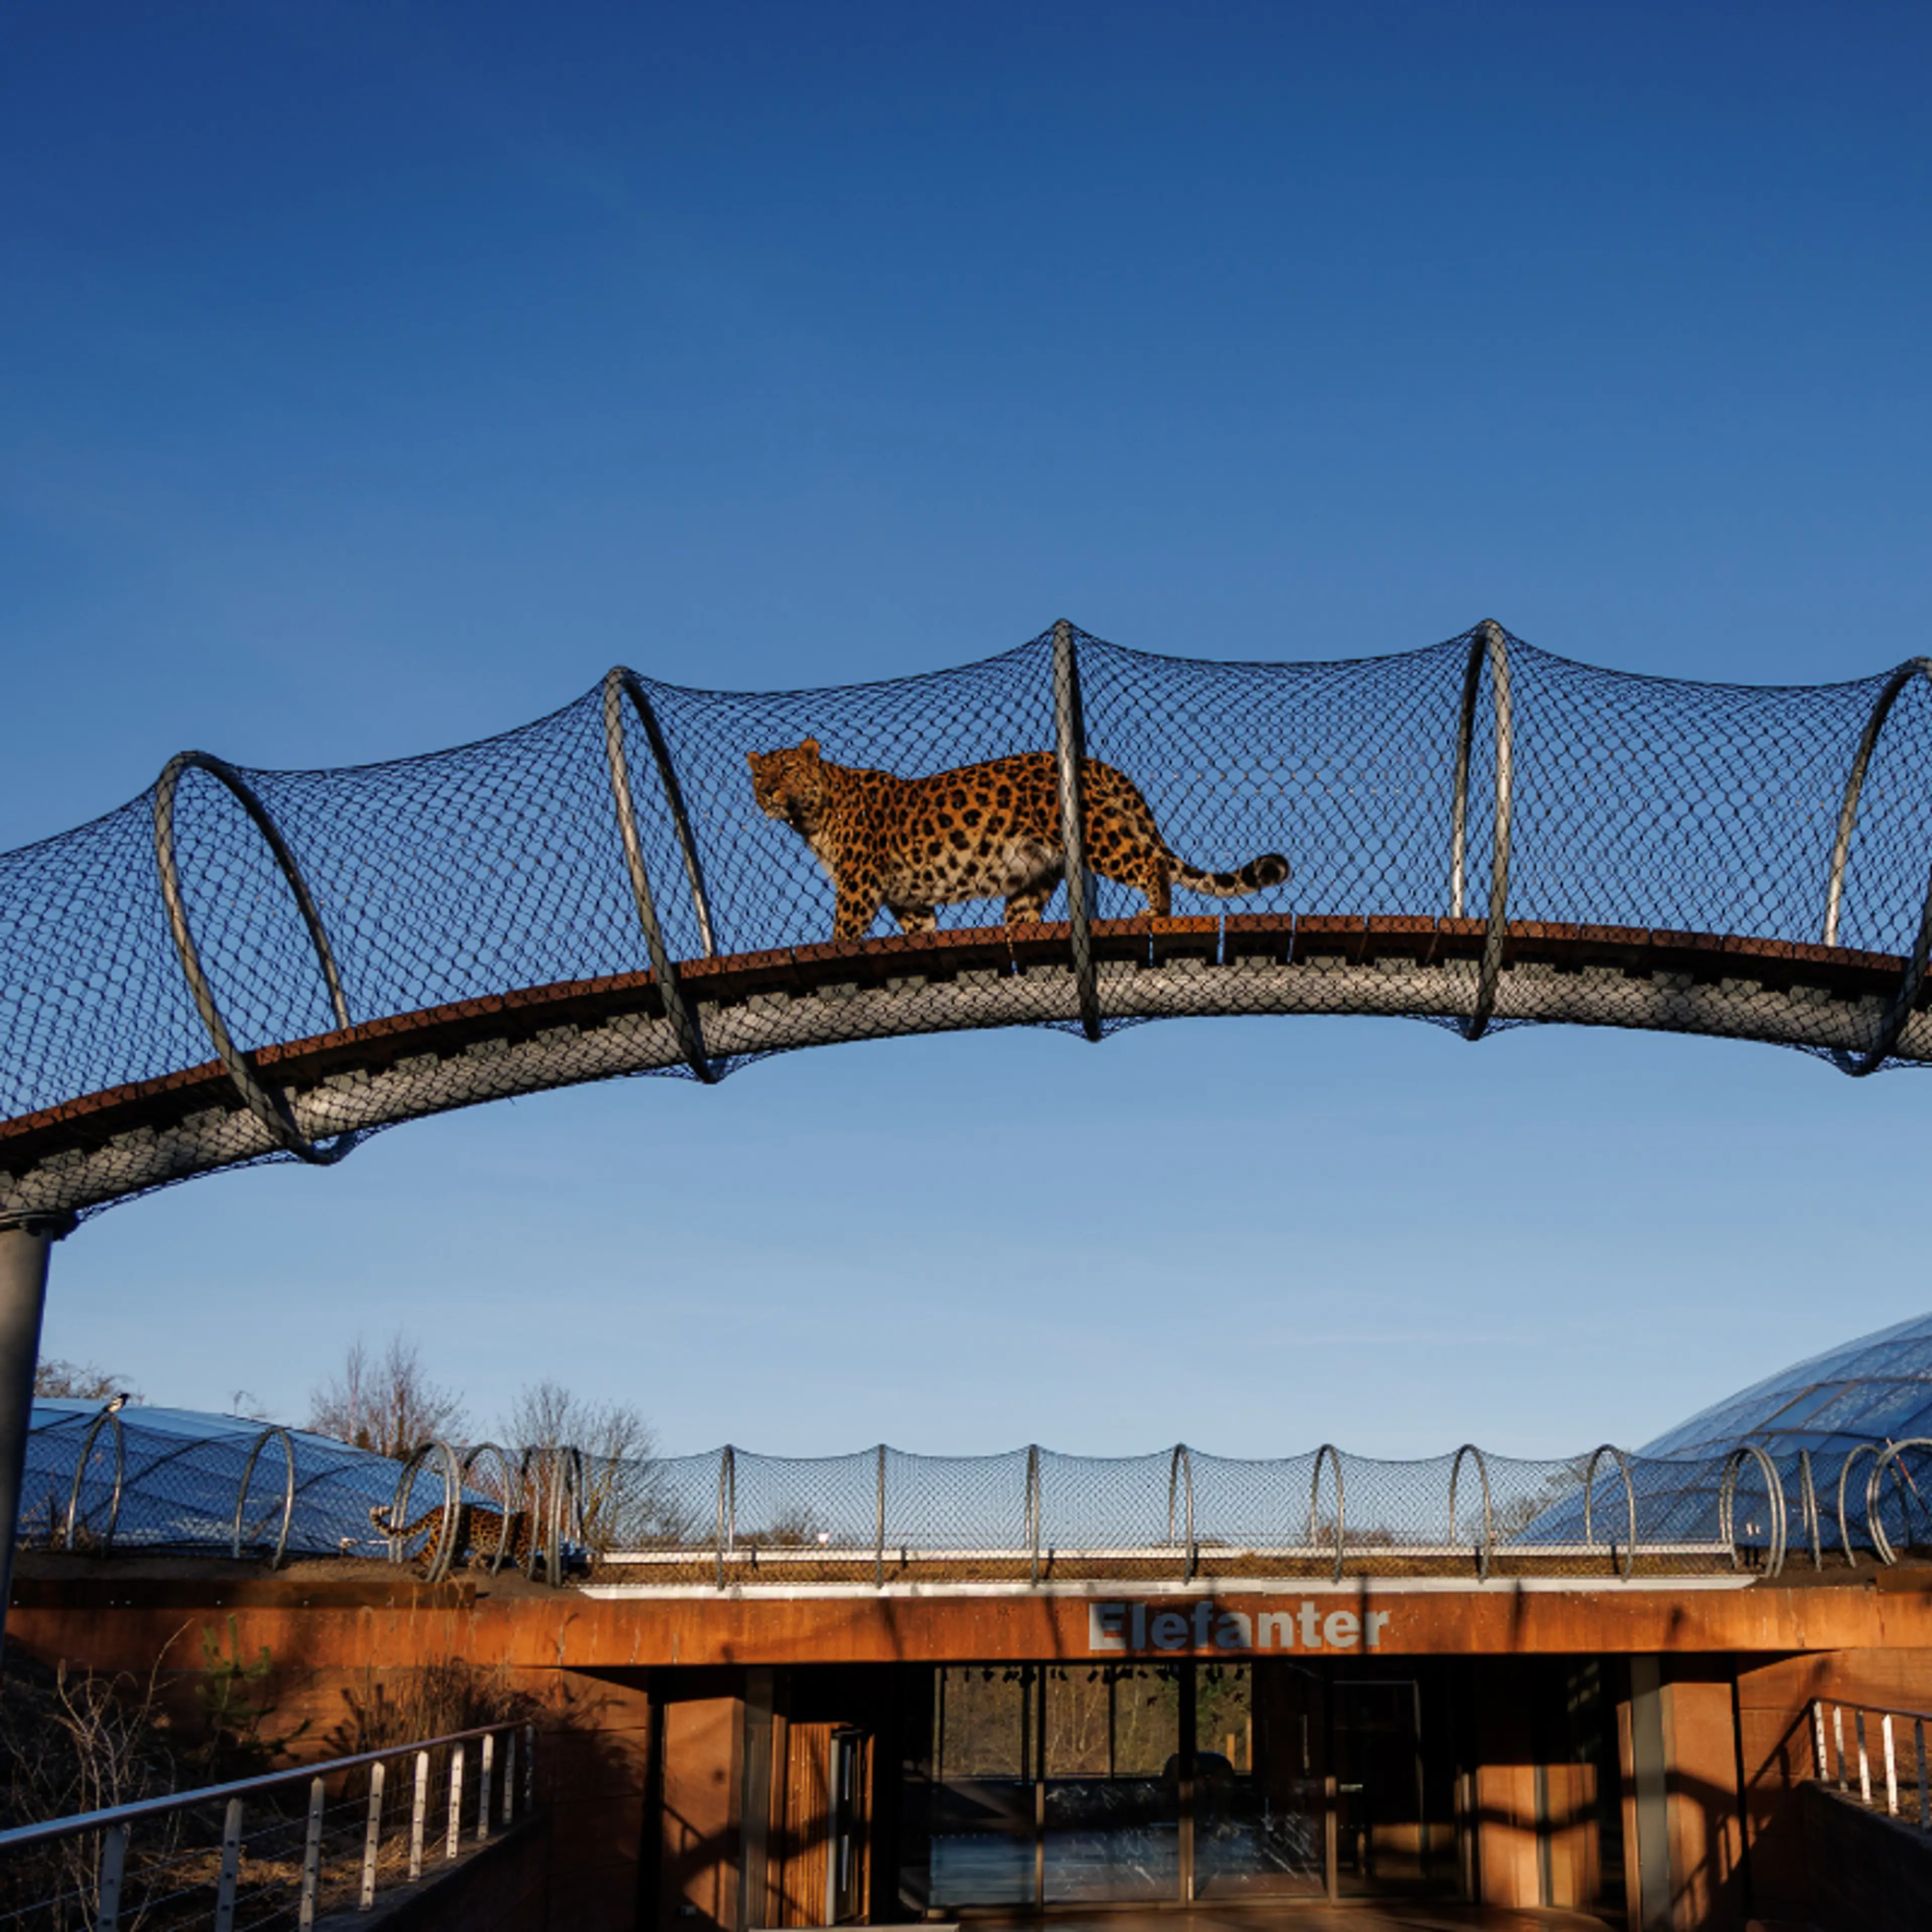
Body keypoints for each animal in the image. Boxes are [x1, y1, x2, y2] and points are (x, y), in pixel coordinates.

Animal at [369, 1501, 534, 1575]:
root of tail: (440, 1508)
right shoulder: (512, 1547)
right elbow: (524, 1560)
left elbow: (481, 1555)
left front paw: (480, 1565)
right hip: (444, 1538)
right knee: (423, 1554)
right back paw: (432, 1568)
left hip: (456, 1541)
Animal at [746, 738, 1289, 941]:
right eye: (760, 775)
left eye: (788, 770)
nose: (768, 792)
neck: (810, 818)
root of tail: (1097, 765)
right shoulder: (906, 896)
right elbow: (922, 927)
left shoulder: (859, 884)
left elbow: (843, 930)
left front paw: (834, 947)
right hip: (1035, 871)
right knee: (1025, 913)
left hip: (1096, 834)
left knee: (1149, 863)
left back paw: (1154, 915)